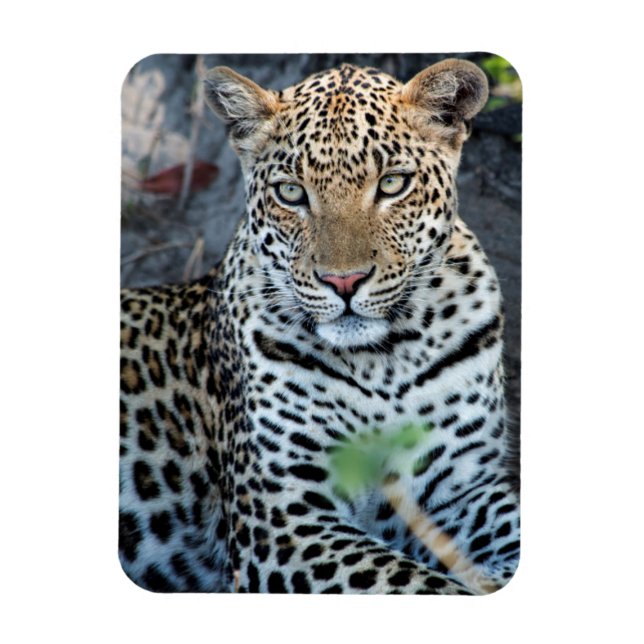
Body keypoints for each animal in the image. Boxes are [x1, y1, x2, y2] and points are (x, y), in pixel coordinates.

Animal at [119, 58, 520, 594]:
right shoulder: (283, 516)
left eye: (392, 184)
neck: (384, 361)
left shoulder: (464, 486)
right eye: (291, 193)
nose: (343, 281)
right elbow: (409, 582)